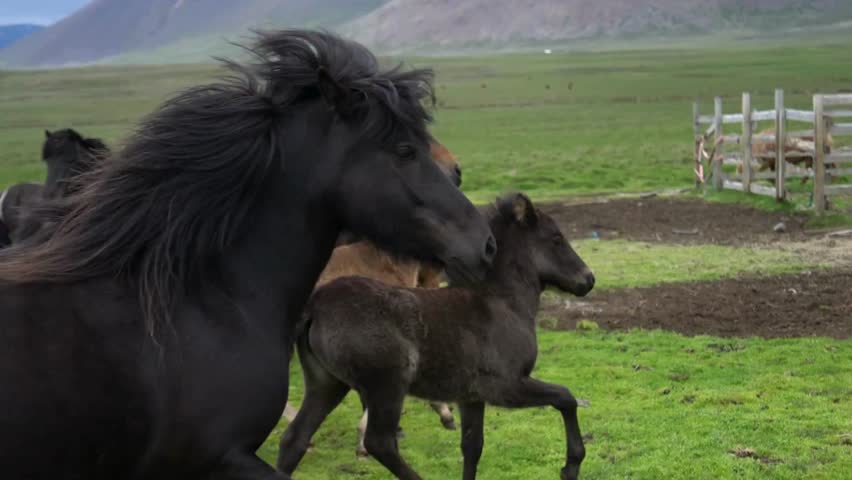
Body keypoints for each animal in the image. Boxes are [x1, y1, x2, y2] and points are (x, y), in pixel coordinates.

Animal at [277, 192, 595, 480]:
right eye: (556, 239)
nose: (588, 279)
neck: (502, 303)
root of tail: (315, 306)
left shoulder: (471, 396)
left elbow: (472, 448)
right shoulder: (507, 387)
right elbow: (566, 397)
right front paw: (571, 465)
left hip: (327, 384)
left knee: (294, 439)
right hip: (387, 385)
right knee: (380, 443)